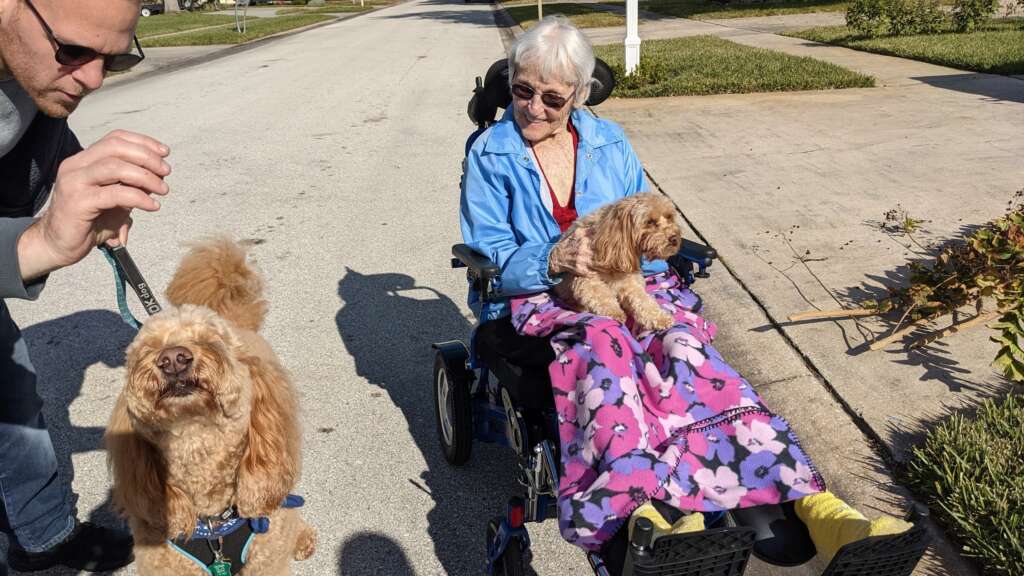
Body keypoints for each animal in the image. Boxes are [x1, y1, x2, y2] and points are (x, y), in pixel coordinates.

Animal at [553, 193, 683, 332]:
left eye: (669, 217)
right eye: (650, 222)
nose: (674, 238)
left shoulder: (628, 280)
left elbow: (642, 299)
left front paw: (660, 317)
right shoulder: (584, 277)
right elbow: (600, 295)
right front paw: (615, 312)